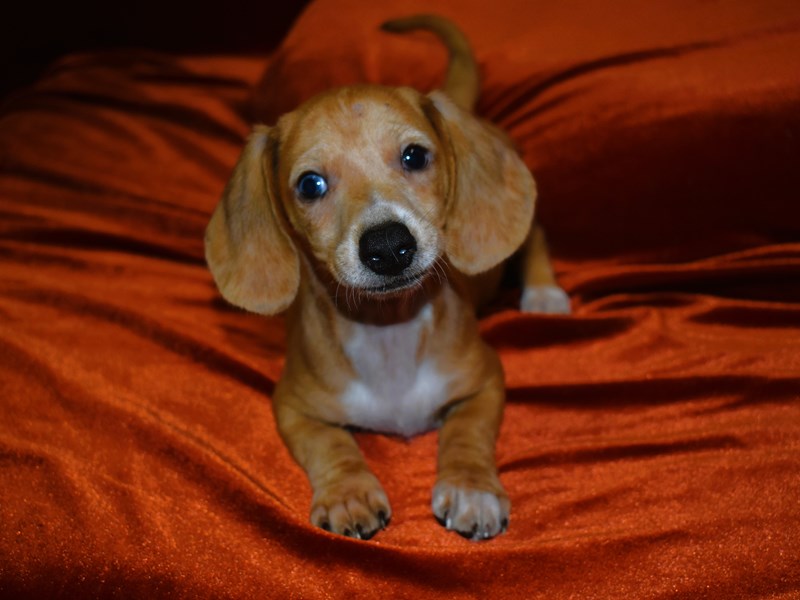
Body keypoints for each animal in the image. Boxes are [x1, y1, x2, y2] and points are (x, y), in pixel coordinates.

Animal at [206, 14, 568, 540]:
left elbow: (466, 433)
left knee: (535, 235)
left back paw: (544, 292)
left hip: (528, 237)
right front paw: (348, 492)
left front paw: (471, 487)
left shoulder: (486, 382)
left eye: (414, 156)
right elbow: (329, 444)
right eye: (310, 184)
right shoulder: (291, 406)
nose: (387, 247)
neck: (390, 331)